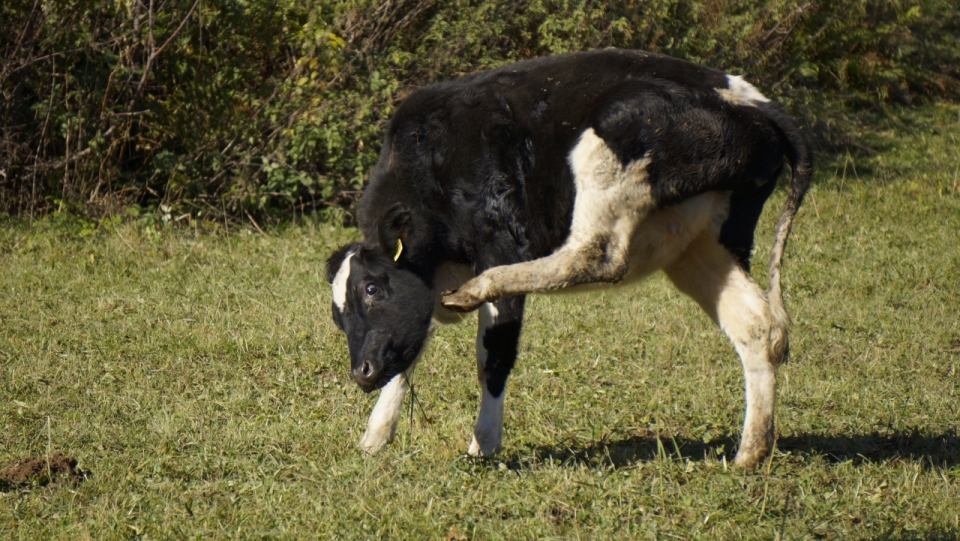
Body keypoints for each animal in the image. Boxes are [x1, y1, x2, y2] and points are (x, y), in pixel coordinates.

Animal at [328, 49, 808, 468]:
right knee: (757, 326)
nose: (361, 372)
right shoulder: (422, 294)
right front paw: (375, 436)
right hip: (702, 243)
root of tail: (746, 96)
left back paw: (478, 289)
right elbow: (407, 351)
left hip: (612, 136)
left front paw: (483, 444)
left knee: (597, 255)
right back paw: (751, 452)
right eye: (338, 316)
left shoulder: (501, 242)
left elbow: (493, 357)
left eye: (371, 288)